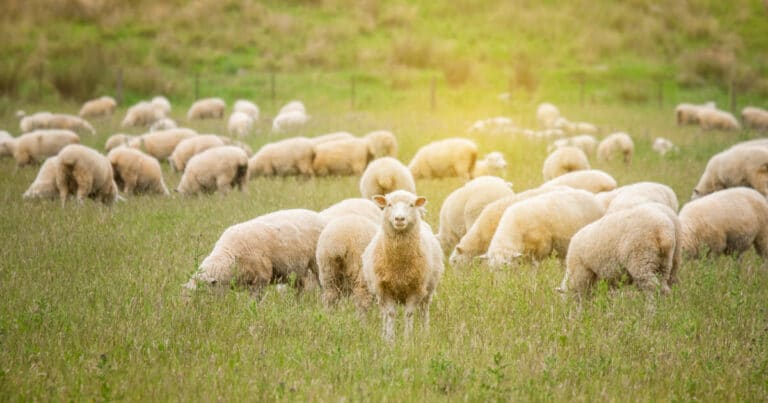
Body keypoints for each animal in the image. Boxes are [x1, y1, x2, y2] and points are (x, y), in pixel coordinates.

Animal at [364, 191, 448, 342]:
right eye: (389, 204)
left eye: (411, 205)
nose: (399, 219)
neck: (399, 266)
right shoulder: (385, 289)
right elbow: (390, 314)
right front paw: (389, 340)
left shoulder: (415, 289)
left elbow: (409, 314)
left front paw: (407, 339)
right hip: (379, 294)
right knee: (384, 313)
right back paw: (383, 333)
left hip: (428, 290)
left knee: (424, 310)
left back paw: (425, 333)